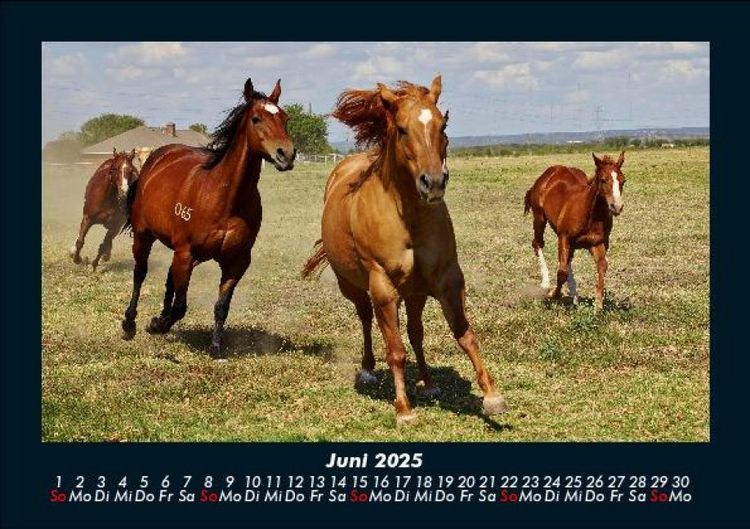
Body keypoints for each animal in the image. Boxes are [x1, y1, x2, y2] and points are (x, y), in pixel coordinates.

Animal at [120, 77, 295, 358]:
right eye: (256, 118)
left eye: (285, 117)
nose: (286, 154)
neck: (225, 199)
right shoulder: (186, 252)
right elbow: (181, 306)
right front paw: (156, 325)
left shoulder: (236, 262)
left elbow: (221, 306)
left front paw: (215, 346)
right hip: (144, 236)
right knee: (140, 273)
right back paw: (130, 324)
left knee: (170, 279)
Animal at [302, 76, 507, 425]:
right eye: (400, 129)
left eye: (443, 124)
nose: (433, 182)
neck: (408, 217)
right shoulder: (383, 287)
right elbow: (395, 350)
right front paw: (404, 409)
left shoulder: (447, 279)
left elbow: (464, 334)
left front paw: (492, 396)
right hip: (354, 286)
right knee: (366, 318)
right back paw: (368, 370)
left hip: (414, 293)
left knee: (415, 332)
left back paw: (428, 383)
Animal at [523, 152, 626, 310]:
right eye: (603, 180)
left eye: (623, 181)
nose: (617, 206)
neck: (590, 215)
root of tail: (551, 171)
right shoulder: (564, 237)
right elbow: (562, 272)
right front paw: (552, 293)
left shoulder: (597, 243)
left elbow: (602, 266)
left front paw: (598, 306)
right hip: (539, 218)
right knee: (537, 244)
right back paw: (546, 283)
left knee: (567, 260)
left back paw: (575, 296)